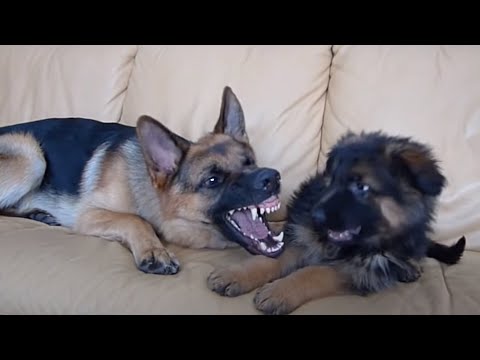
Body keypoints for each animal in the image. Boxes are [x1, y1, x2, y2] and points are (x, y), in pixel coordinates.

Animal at [0, 86, 284, 276]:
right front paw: (156, 251)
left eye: (250, 162)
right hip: (31, 155)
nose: (272, 177)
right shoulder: (89, 215)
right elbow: (134, 220)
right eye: (213, 180)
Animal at [208, 131, 466, 314]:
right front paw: (235, 275)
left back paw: (410, 267)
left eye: (361, 187)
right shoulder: (300, 236)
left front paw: (279, 291)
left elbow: (315, 272)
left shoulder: (356, 271)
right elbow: (270, 258)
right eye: (330, 181)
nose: (315, 216)